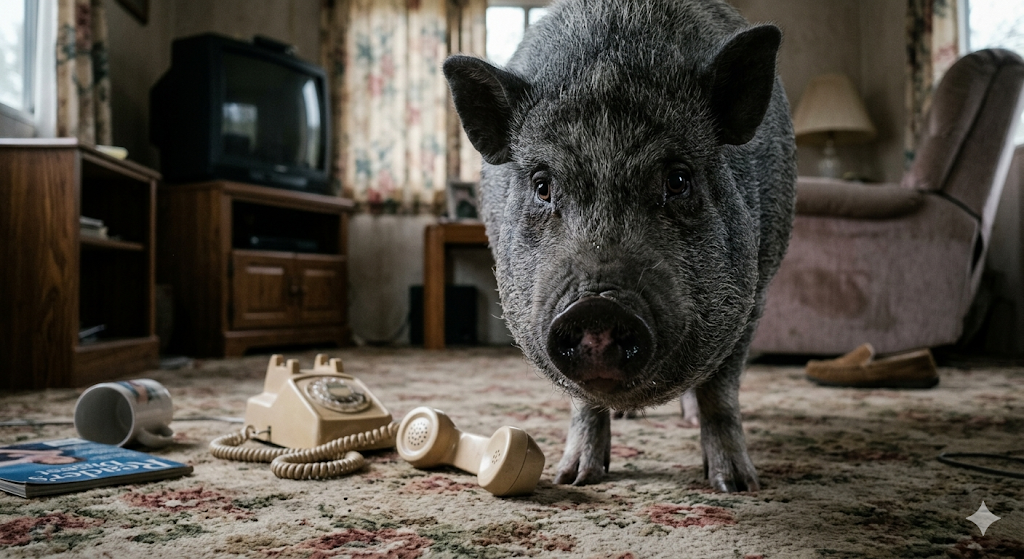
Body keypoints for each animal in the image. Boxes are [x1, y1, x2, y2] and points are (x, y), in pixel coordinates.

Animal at [442, 0, 796, 492]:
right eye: (543, 186)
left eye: (678, 179)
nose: (598, 306)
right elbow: (583, 402)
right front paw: (573, 479)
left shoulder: (754, 293)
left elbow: (720, 391)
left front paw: (738, 486)